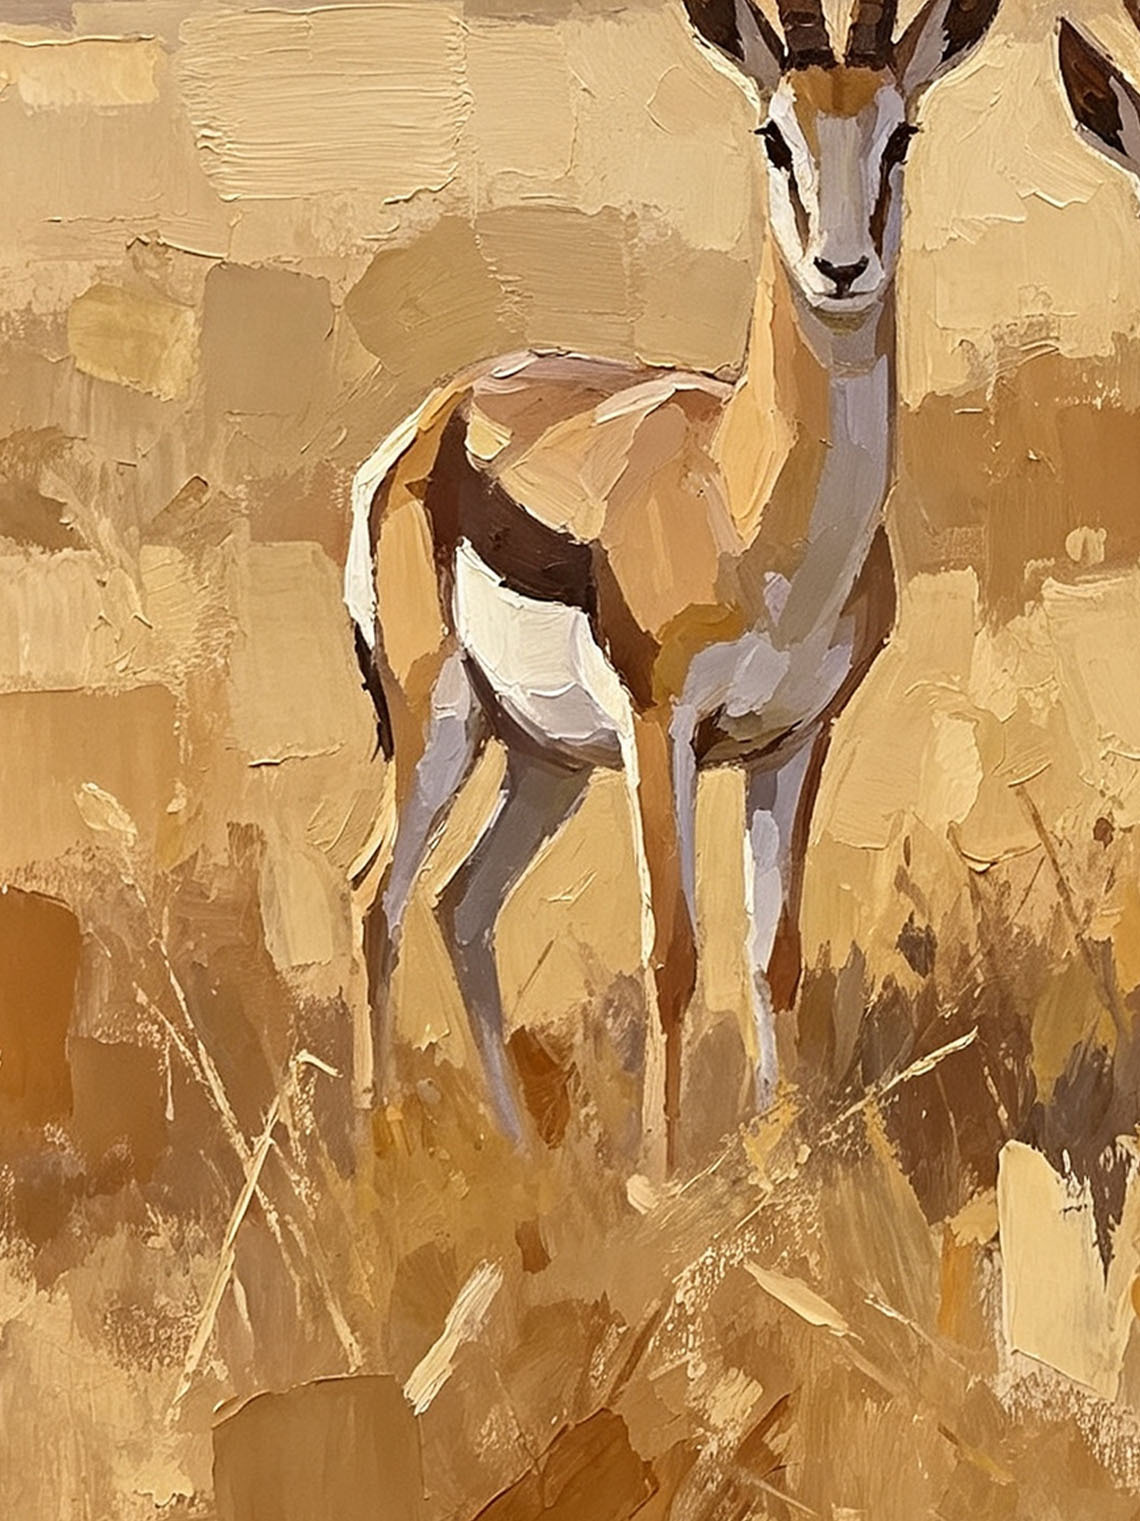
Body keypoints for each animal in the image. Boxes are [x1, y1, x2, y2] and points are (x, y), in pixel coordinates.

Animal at [345, 0, 1001, 1172]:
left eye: (901, 135)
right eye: (775, 135)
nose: (842, 269)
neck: (743, 504)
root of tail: (428, 425)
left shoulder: (794, 742)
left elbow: (773, 948)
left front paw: (783, 1148)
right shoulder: (664, 732)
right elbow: (675, 949)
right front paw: (663, 1173)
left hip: (542, 760)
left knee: (463, 904)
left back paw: (520, 1148)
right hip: (441, 724)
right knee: (377, 896)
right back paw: (381, 1145)